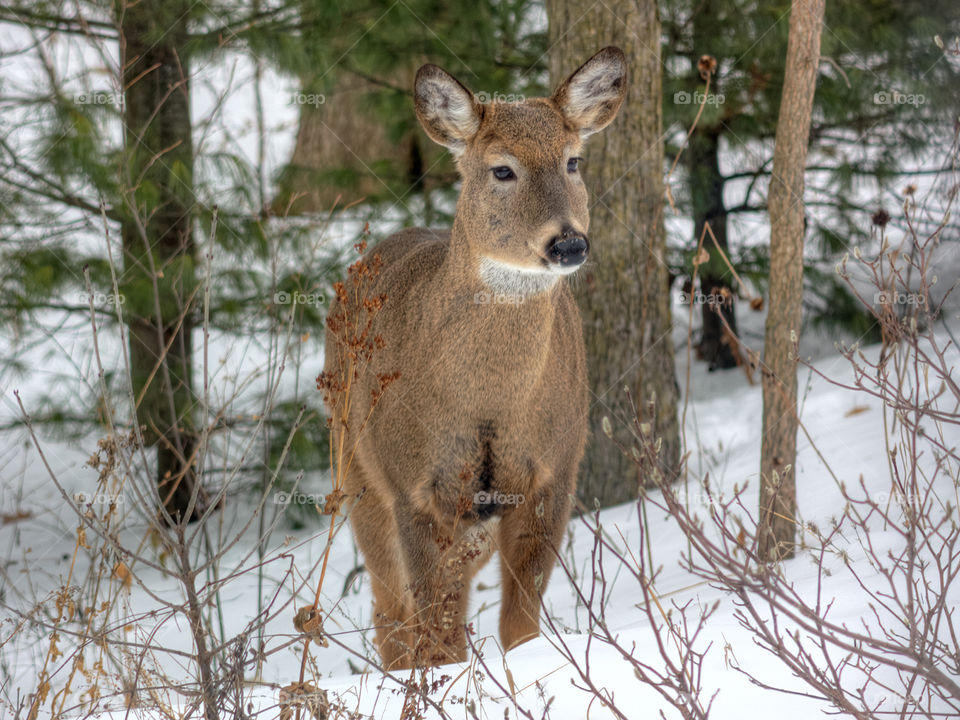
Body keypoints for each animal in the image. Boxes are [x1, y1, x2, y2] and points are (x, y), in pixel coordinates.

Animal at [321, 47, 627, 669]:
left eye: (574, 161)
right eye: (501, 169)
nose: (568, 243)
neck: (488, 403)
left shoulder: (554, 471)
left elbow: (521, 619)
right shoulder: (414, 485)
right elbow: (436, 629)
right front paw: (443, 679)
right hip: (355, 465)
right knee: (390, 609)